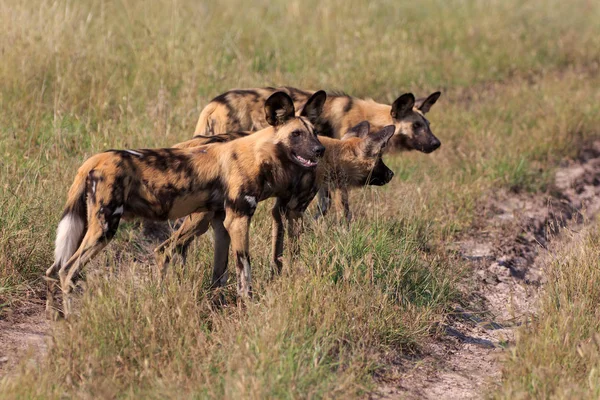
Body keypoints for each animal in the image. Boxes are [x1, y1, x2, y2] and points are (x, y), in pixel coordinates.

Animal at [45, 90, 328, 318]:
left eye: (315, 133)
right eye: (296, 134)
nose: (320, 150)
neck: (259, 154)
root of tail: (93, 160)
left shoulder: (220, 223)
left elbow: (220, 273)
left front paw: (218, 305)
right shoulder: (238, 219)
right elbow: (244, 269)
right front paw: (248, 305)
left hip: (86, 226)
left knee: (53, 269)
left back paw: (55, 315)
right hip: (105, 227)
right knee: (67, 271)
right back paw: (71, 318)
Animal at [155, 120, 394, 280]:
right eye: (380, 160)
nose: (391, 174)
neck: (331, 155)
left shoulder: (279, 210)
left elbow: (277, 253)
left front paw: (276, 277)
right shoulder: (296, 211)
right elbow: (294, 251)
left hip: (202, 220)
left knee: (170, 249)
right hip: (200, 219)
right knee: (165, 249)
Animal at [196, 86, 440, 222]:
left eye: (428, 125)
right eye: (417, 126)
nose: (436, 143)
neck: (371, 117)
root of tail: (213, 104)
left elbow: (324, 207)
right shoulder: (338, 173)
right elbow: (340, 209)